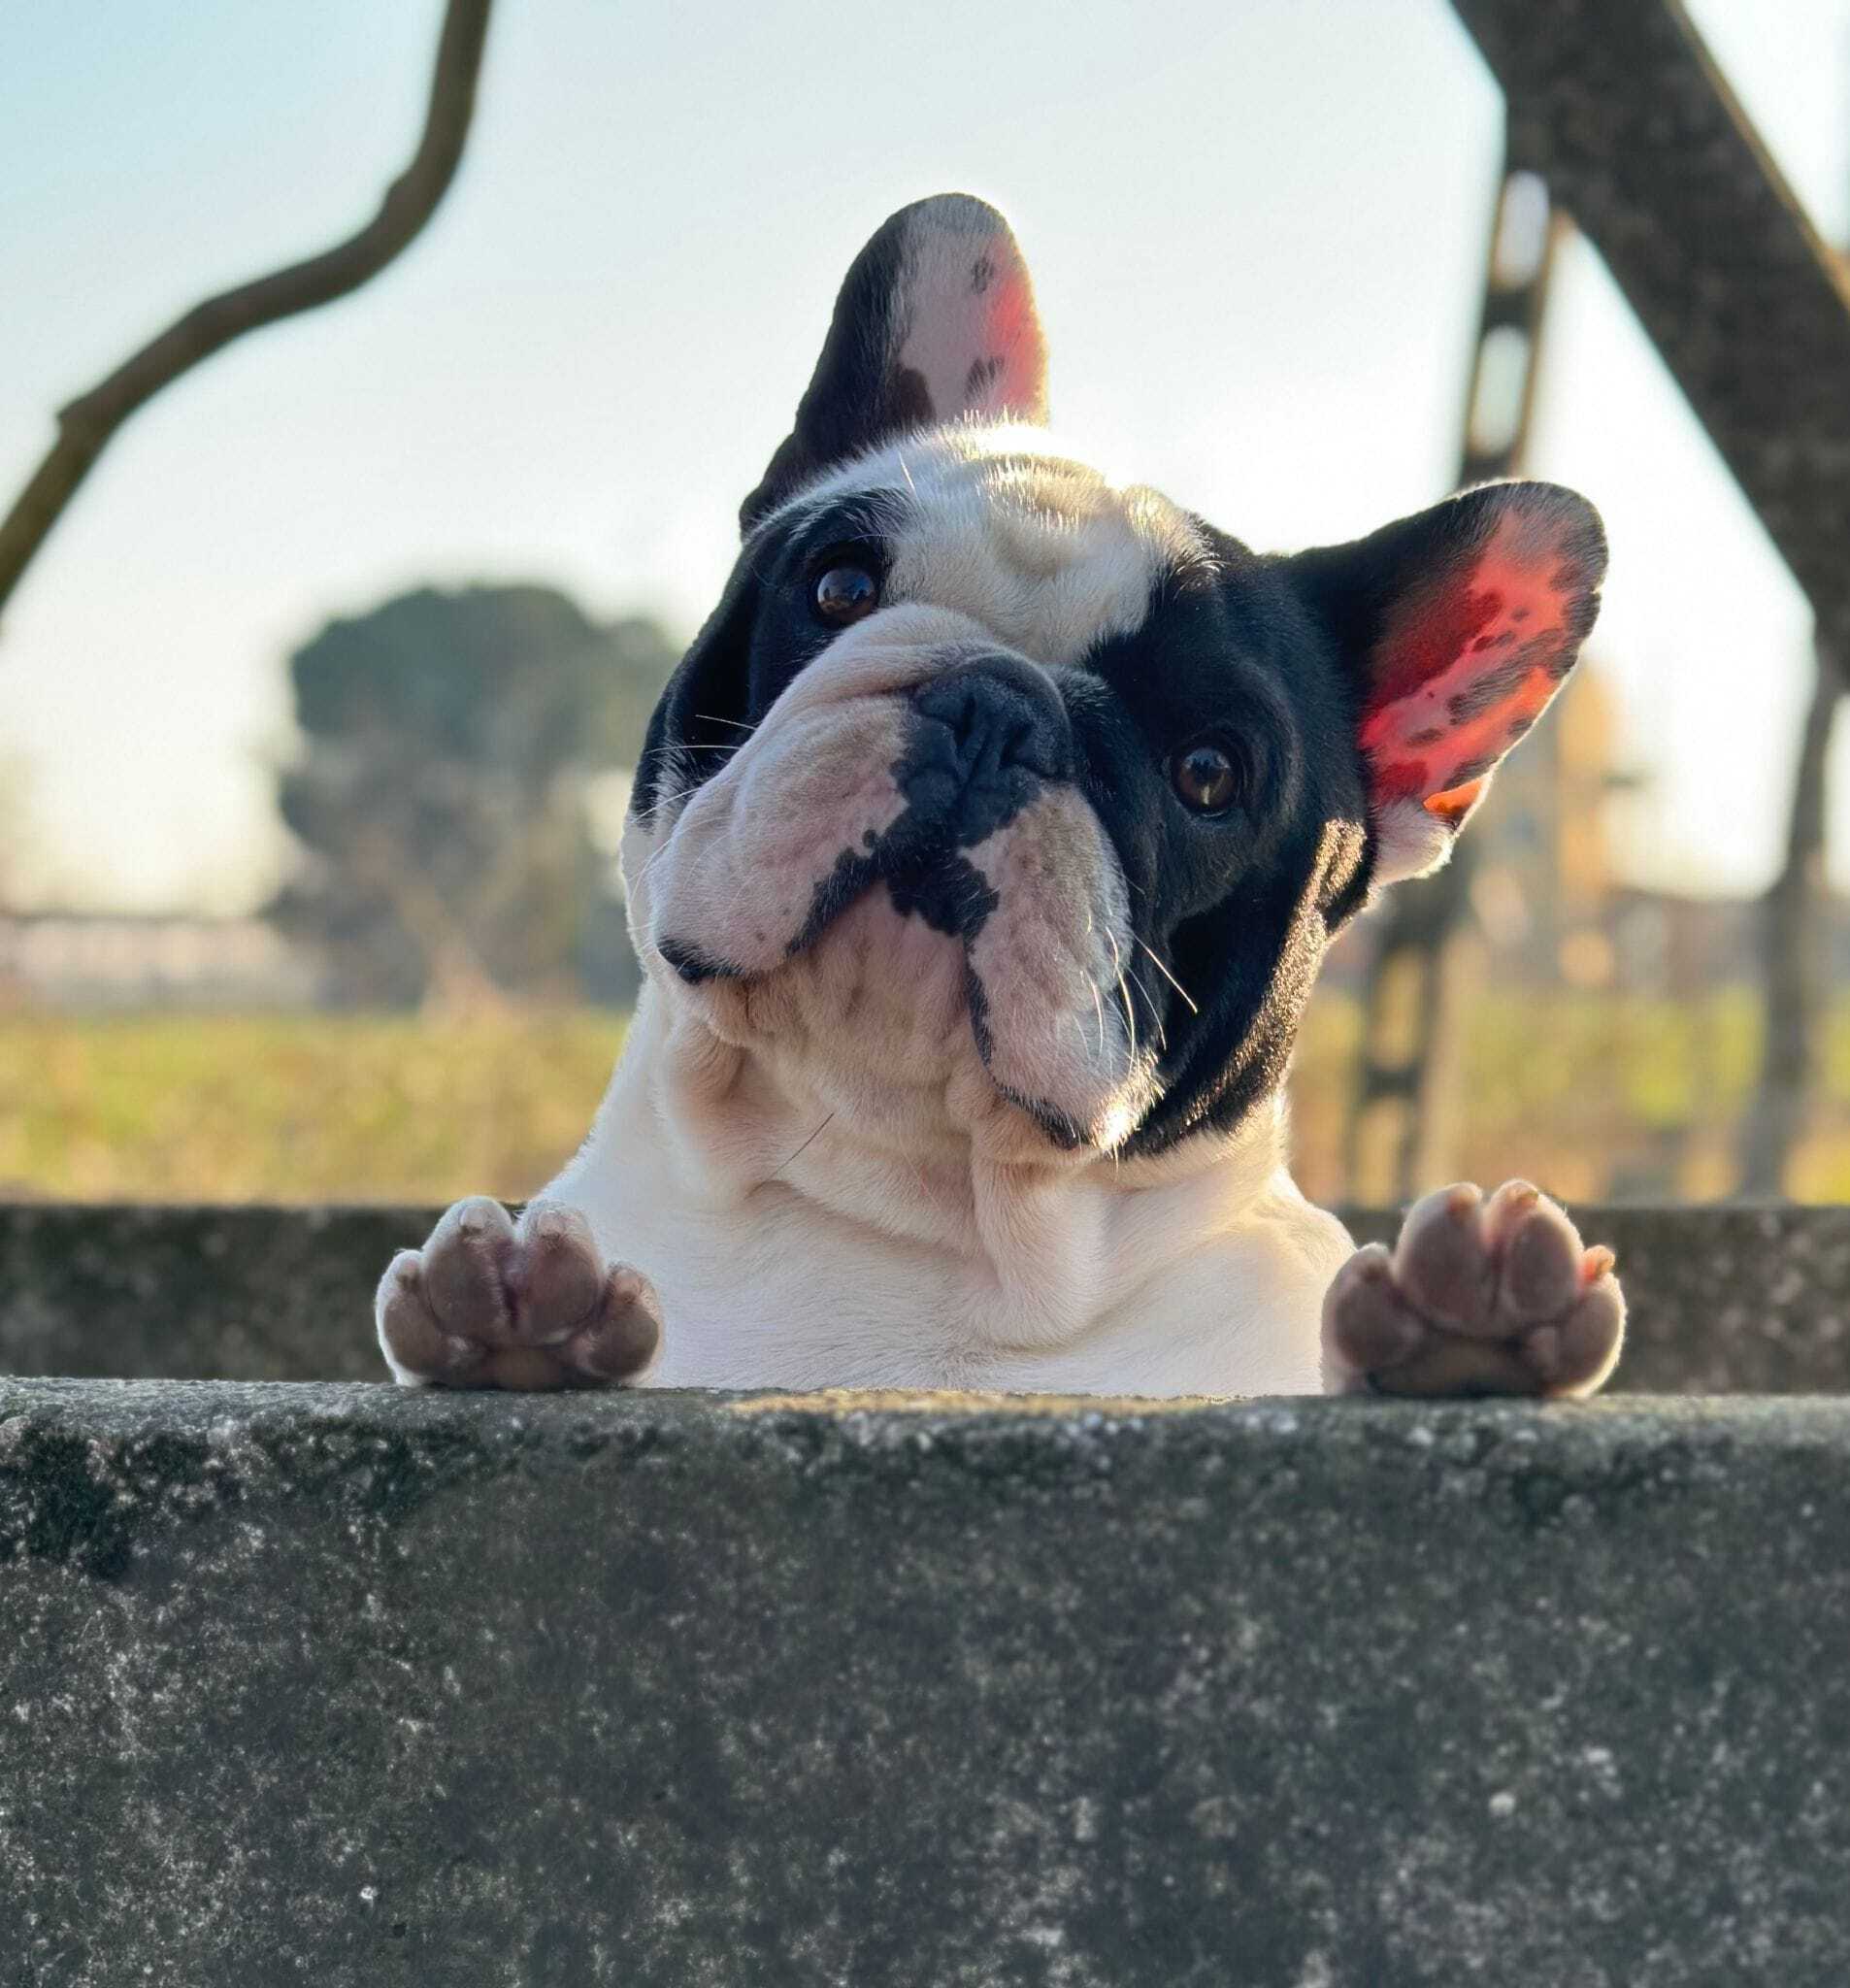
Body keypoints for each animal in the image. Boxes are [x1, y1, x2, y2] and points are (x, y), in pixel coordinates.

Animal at [371, 189, 1621, 1399]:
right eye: (838, 585)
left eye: (1209, 773)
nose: (999, 707)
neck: (905, 1209)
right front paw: (518, 1317)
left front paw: (1465, 1327)